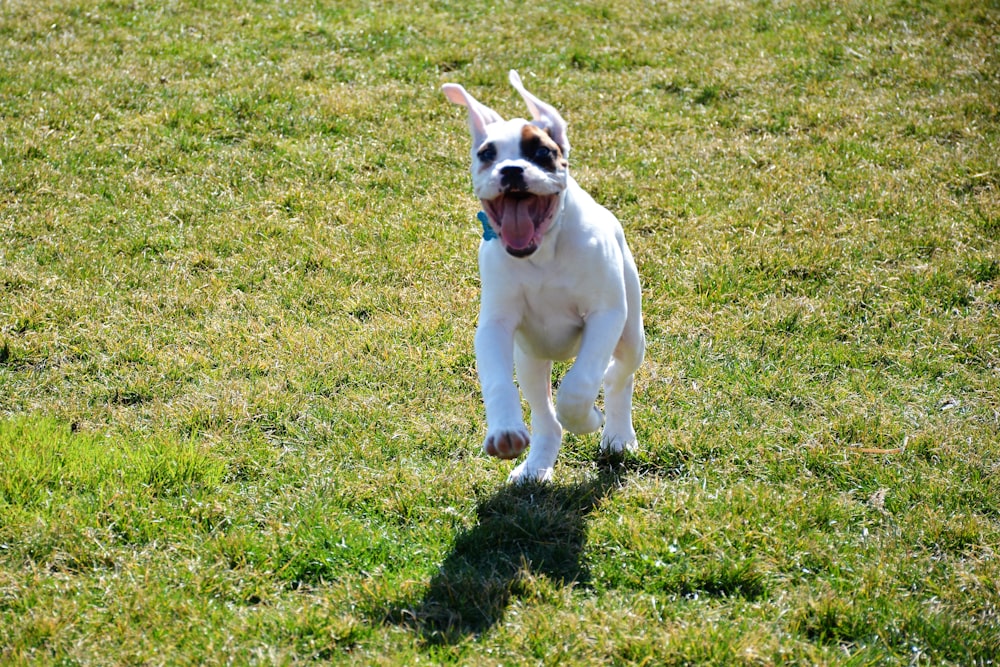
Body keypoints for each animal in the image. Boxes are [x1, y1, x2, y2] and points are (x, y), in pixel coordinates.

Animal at [442, 70, 644, 482]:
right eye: (486, 154)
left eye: (541, 153)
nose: (511, 170)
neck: (542, 256)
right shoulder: (496, 325)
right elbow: (498, 380)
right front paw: (504, 431)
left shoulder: (606, 316)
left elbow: (579, 385)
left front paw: (588, 420)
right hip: (530, 358)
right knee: (544, 414)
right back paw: (535, 465)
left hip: (631, 331)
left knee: (618, 375)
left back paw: (618, 434)